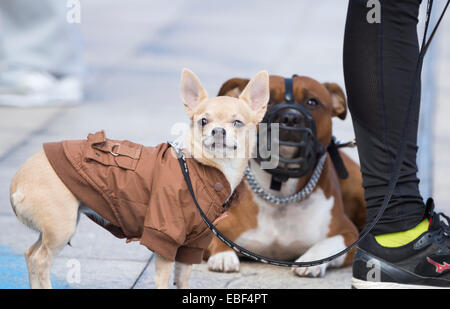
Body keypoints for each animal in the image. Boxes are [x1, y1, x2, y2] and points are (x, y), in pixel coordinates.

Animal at [204, 74, 366, 276]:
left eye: (312, 101)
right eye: (267, 100)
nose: (290, 117)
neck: (281, 193)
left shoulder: (347, 233)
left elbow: (328, 244)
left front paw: (311, 260)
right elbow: (216, 238)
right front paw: (223, 256)